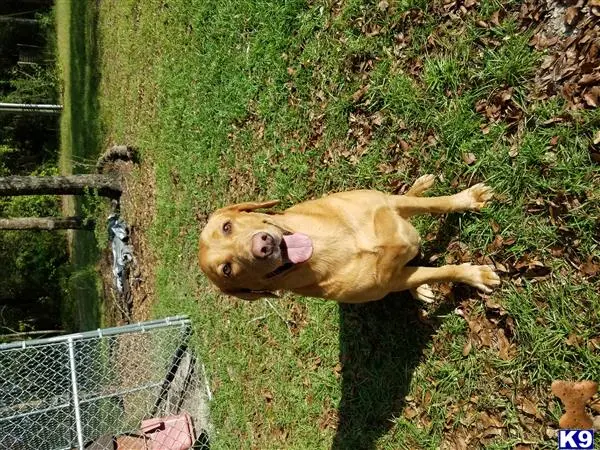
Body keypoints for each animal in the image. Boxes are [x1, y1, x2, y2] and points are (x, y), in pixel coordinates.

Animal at [199, 176, 500, 302]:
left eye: (227, 226)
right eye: (227, 270)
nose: (262, 245)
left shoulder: (390, 204)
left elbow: (439, 204)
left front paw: (469, 198)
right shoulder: (392, 281)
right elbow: (441, 272)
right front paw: (475, 275)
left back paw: (419, 185)